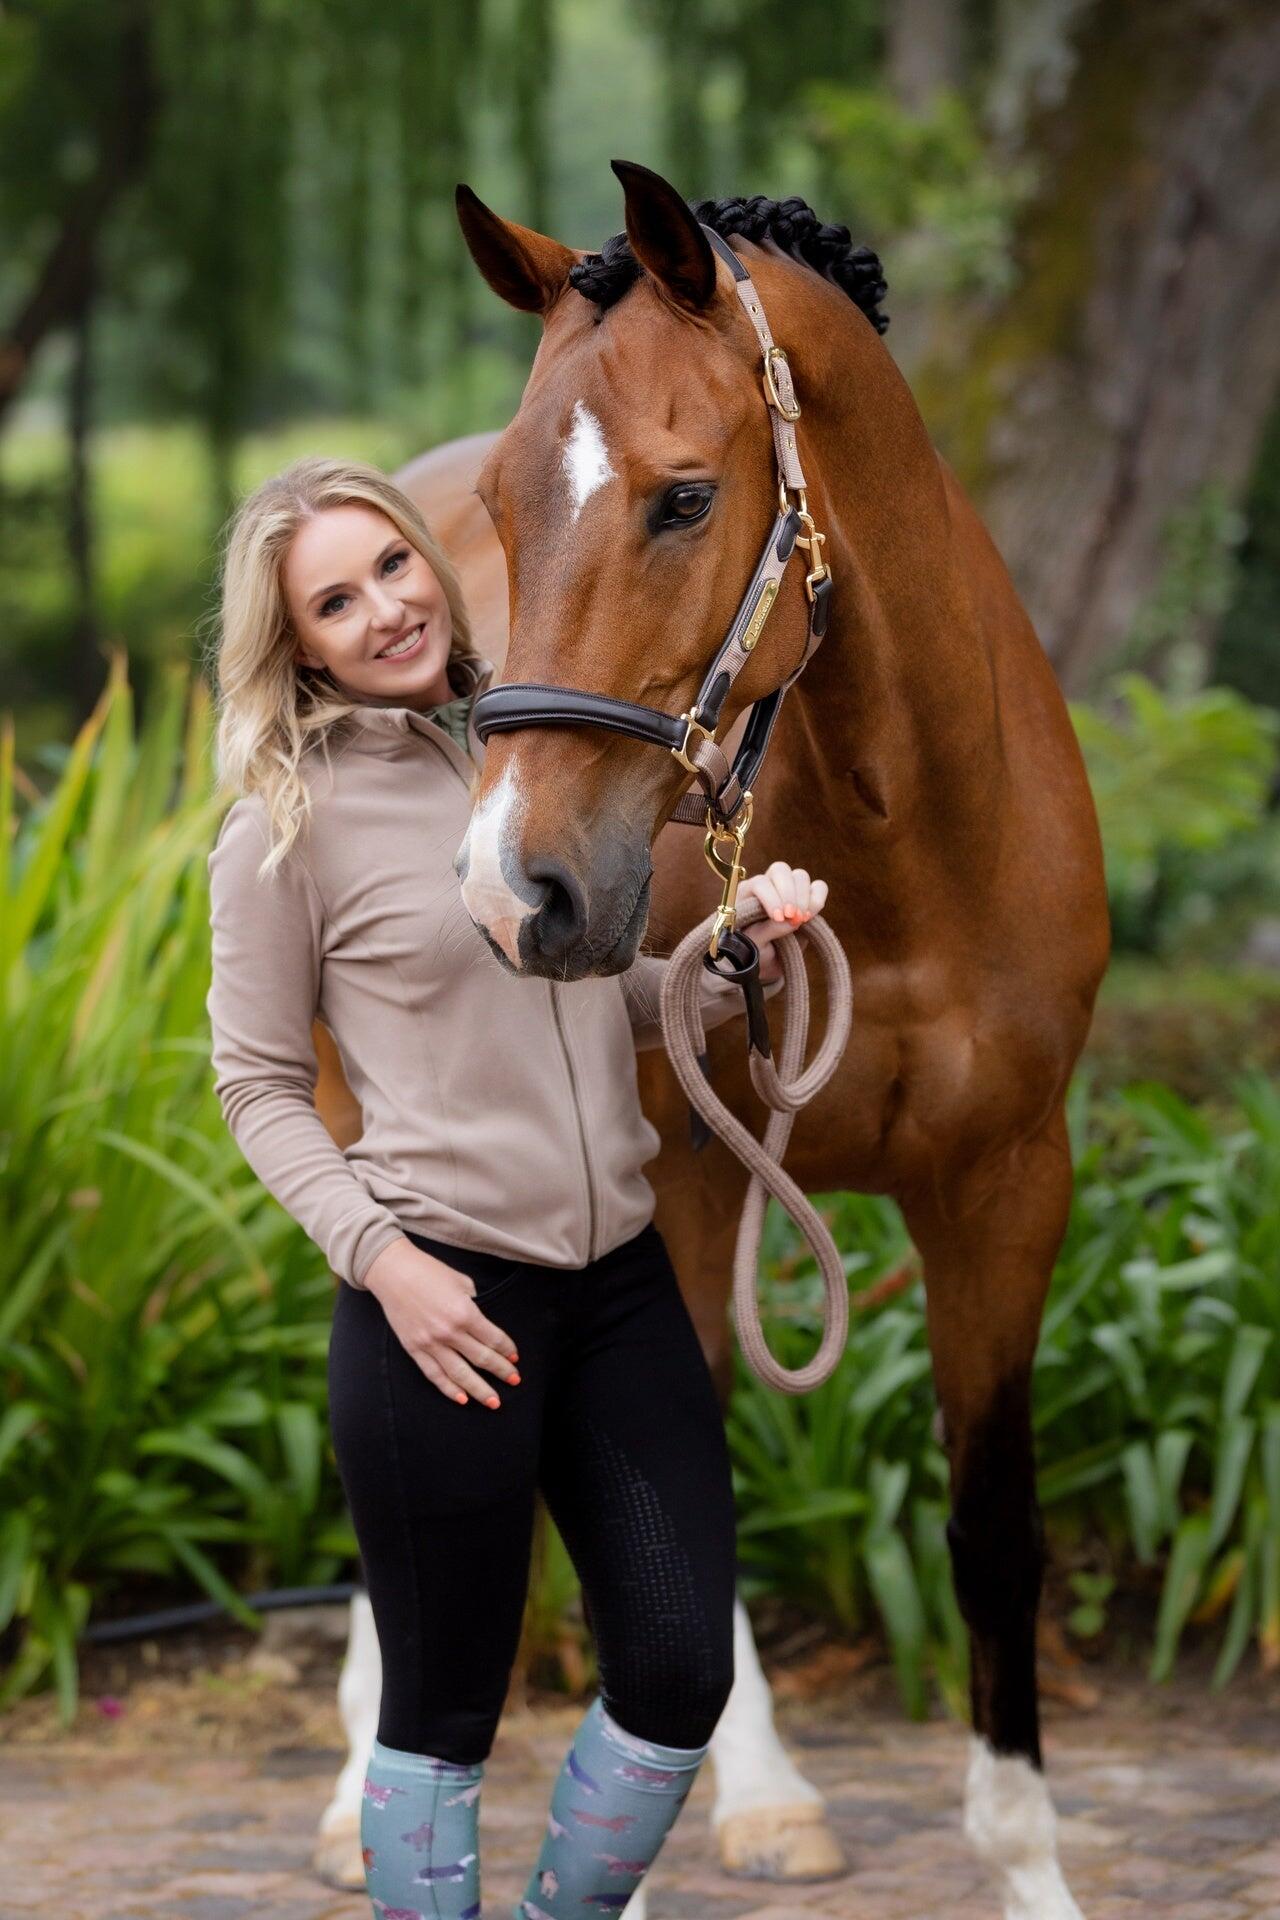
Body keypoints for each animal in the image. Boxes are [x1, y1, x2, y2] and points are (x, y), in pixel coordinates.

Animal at [313, 162, 1110, 1920]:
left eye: (684, 500)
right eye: (516, 505)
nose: (516, 889)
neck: (904, 837)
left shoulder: (1007, 1187)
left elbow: (994, 1533)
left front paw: (1029, 1866)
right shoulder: (675, 1175)